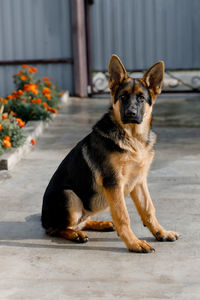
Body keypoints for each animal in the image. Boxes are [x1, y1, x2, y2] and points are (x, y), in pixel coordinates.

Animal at [41, 55, 179, 252]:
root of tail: (42, 219)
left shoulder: (139, 181)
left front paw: (161, 233)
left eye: (141, 98)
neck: (132, 138)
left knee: (82, 221)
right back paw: (75, 235)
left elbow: (148, 209)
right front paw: (134, 243)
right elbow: (122, 215)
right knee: (57, 229)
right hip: (69, 197)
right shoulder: (113, 183)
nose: (130, 113)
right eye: (123, 97)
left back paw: (101, 224)